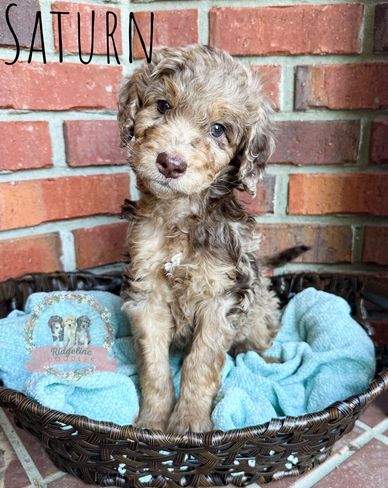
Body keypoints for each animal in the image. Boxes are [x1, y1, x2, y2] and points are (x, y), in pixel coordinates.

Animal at [119, 46, 280, 434]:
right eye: (162, 106)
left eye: (218, 129)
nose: (171, 163)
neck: (181, 216)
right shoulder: (146, 293)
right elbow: (154, 367)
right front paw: (152, 422)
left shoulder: (221, 296)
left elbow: (201, 362)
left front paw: (190, 423)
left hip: (260, 309)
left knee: (259, 342)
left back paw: (266, 359)